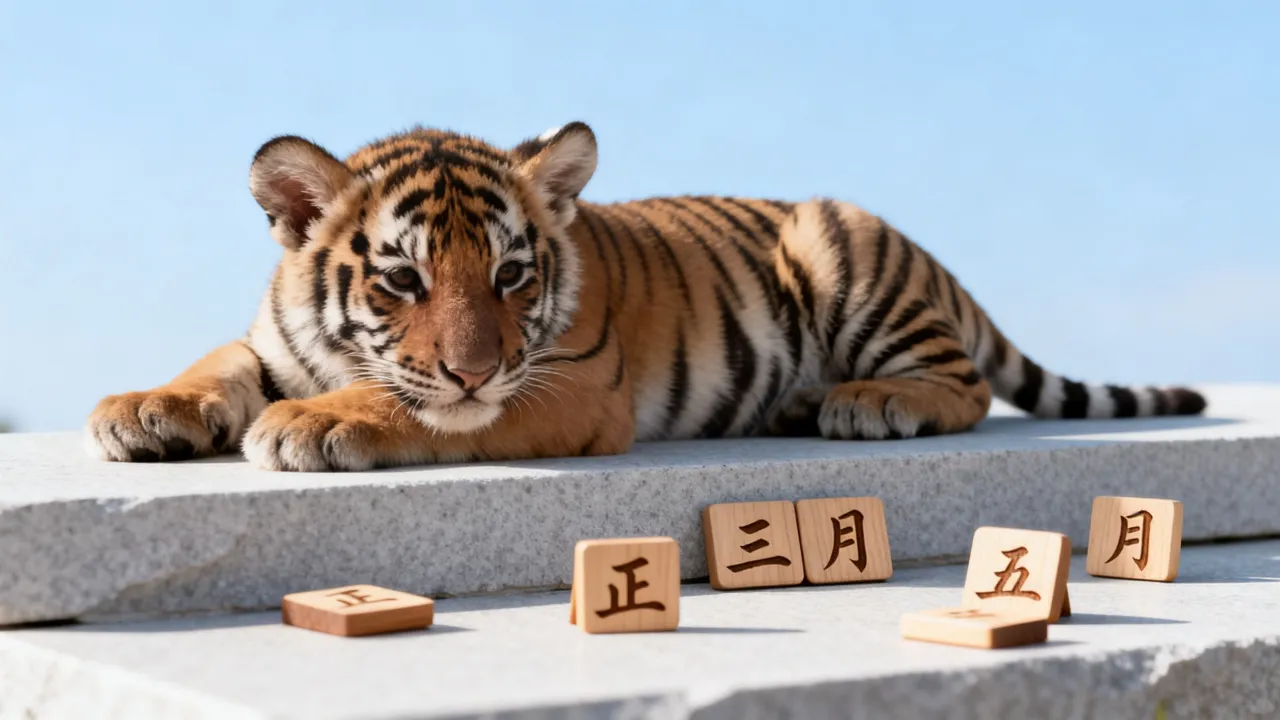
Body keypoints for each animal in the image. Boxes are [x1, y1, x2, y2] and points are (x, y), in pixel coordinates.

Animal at [84, 122, 1207, 471]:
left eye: (512, 274)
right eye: (402, 278)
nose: (475, 364)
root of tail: (933, 260)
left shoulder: (560, 389)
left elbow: (431, 413)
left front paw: (316, 423)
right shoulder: (271, 343)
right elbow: (218, 363)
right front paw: (144, 408)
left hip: (838, 245)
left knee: (963, 383)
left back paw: (863, 403)